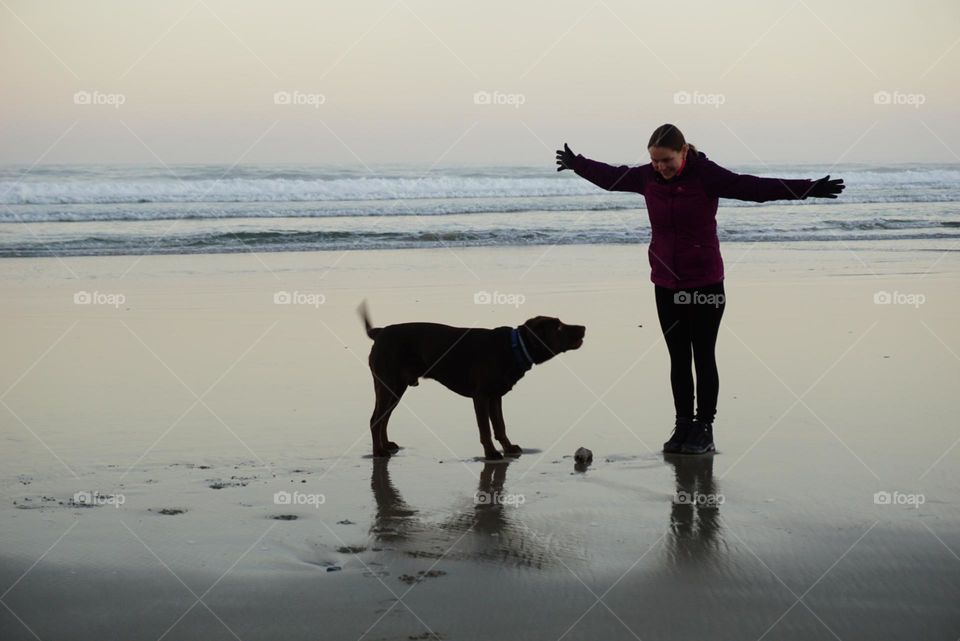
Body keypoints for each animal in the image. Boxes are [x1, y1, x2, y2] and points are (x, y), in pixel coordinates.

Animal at [360, 302, 584, 458]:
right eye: (559, 328)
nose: (583, 327)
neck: (513, 348)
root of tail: (379, 332)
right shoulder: (481, 396)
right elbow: (485, 429)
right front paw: (491, 453)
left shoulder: (495, 397)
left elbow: (500, 426)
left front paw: (508, 448)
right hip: (388, 384)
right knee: (375, 420)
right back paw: (378, 451)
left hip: (396, 388)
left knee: (383, 418)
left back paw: (385, 445)